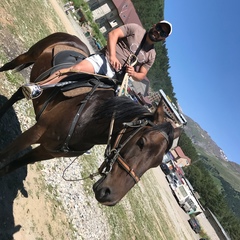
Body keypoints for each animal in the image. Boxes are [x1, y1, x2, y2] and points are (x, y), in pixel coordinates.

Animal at [0, 32, 180, 206]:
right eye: (141, 142)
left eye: (157, 163)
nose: (109, 195)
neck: (89, 117)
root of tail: (73, 38)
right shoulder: (35, 133)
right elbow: (5, 155)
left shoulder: (46, 151)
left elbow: (10, 166)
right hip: (29, 55)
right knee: (9, 67)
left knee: (18, 93)